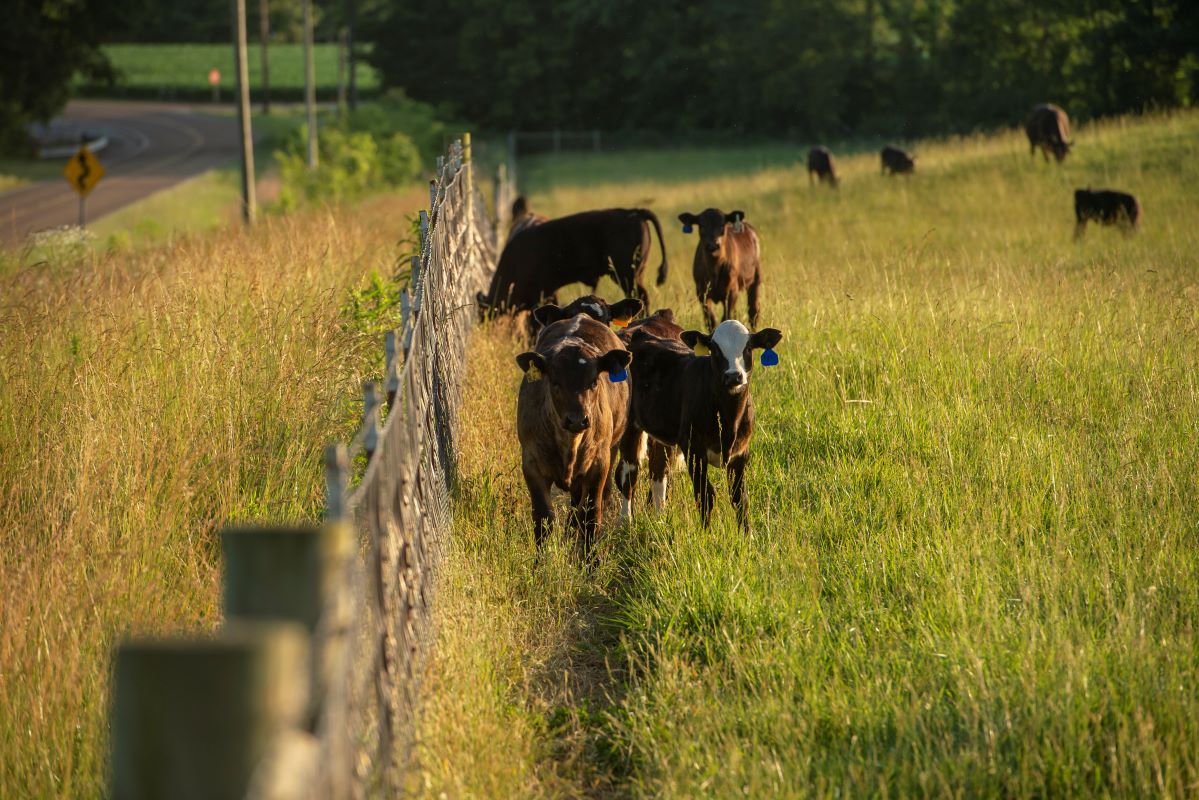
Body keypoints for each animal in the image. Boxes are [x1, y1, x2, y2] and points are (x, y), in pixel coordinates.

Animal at [474, 206, 666, 326]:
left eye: (481, 312)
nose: (482, 324)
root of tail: (634, 212)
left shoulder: (540, 297)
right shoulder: (549, 294)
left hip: (626, 276)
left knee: (641, 296)